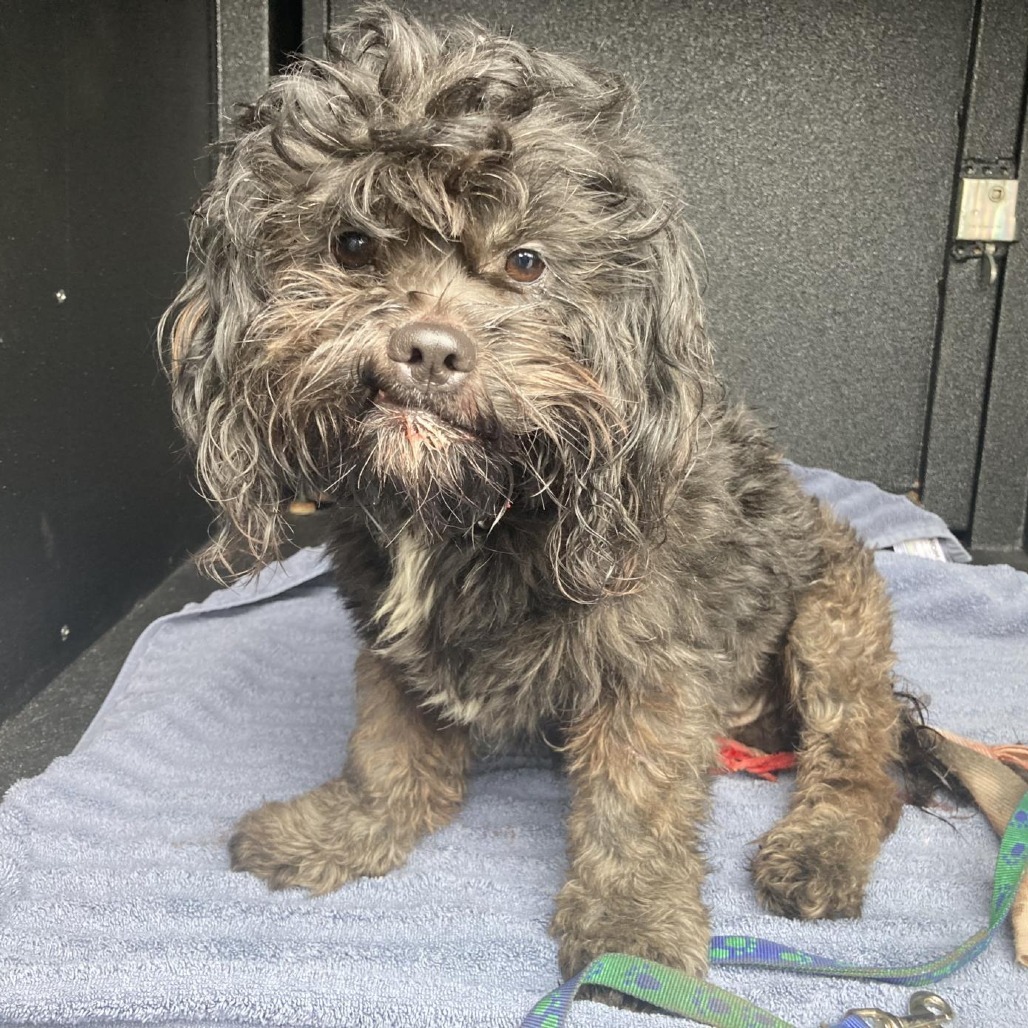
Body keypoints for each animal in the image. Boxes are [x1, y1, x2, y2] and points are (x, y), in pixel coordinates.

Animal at [162, 6, 925, 986]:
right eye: (353, 243)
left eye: (527, 261)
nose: (427, 349)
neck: (476, 504)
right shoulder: (391, 642)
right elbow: (386, 752)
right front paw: (345, 832)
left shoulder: (654, 667)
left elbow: (636, 803)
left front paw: (631, 933)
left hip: (836, 625)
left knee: (865, 771)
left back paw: (819, 850)